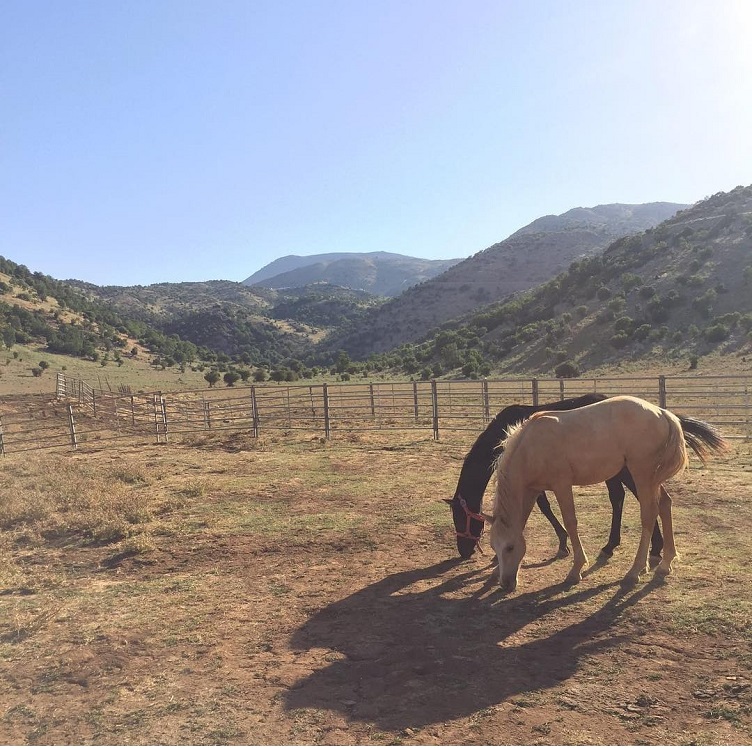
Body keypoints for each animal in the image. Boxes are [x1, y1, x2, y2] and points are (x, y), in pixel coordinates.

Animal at [444, 394, 660, 564]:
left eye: (460, 518)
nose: (463, 551)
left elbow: (543, 506)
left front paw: (563, 543)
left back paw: (653, 548)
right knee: (620, 497)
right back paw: (618, 545)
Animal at [482, 394, 728, 592]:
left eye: (510, 547)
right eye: (495, 546)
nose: (506, 584)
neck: (531, 447)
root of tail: (662, 413)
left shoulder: (562, 485)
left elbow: (571, 522)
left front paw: (576, 570)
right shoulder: (533, 491)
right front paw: (494, 571)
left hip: (641, 473)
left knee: (649, 514)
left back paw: (635, 571)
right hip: (652, 478)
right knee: (665, 504)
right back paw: (665, 563)